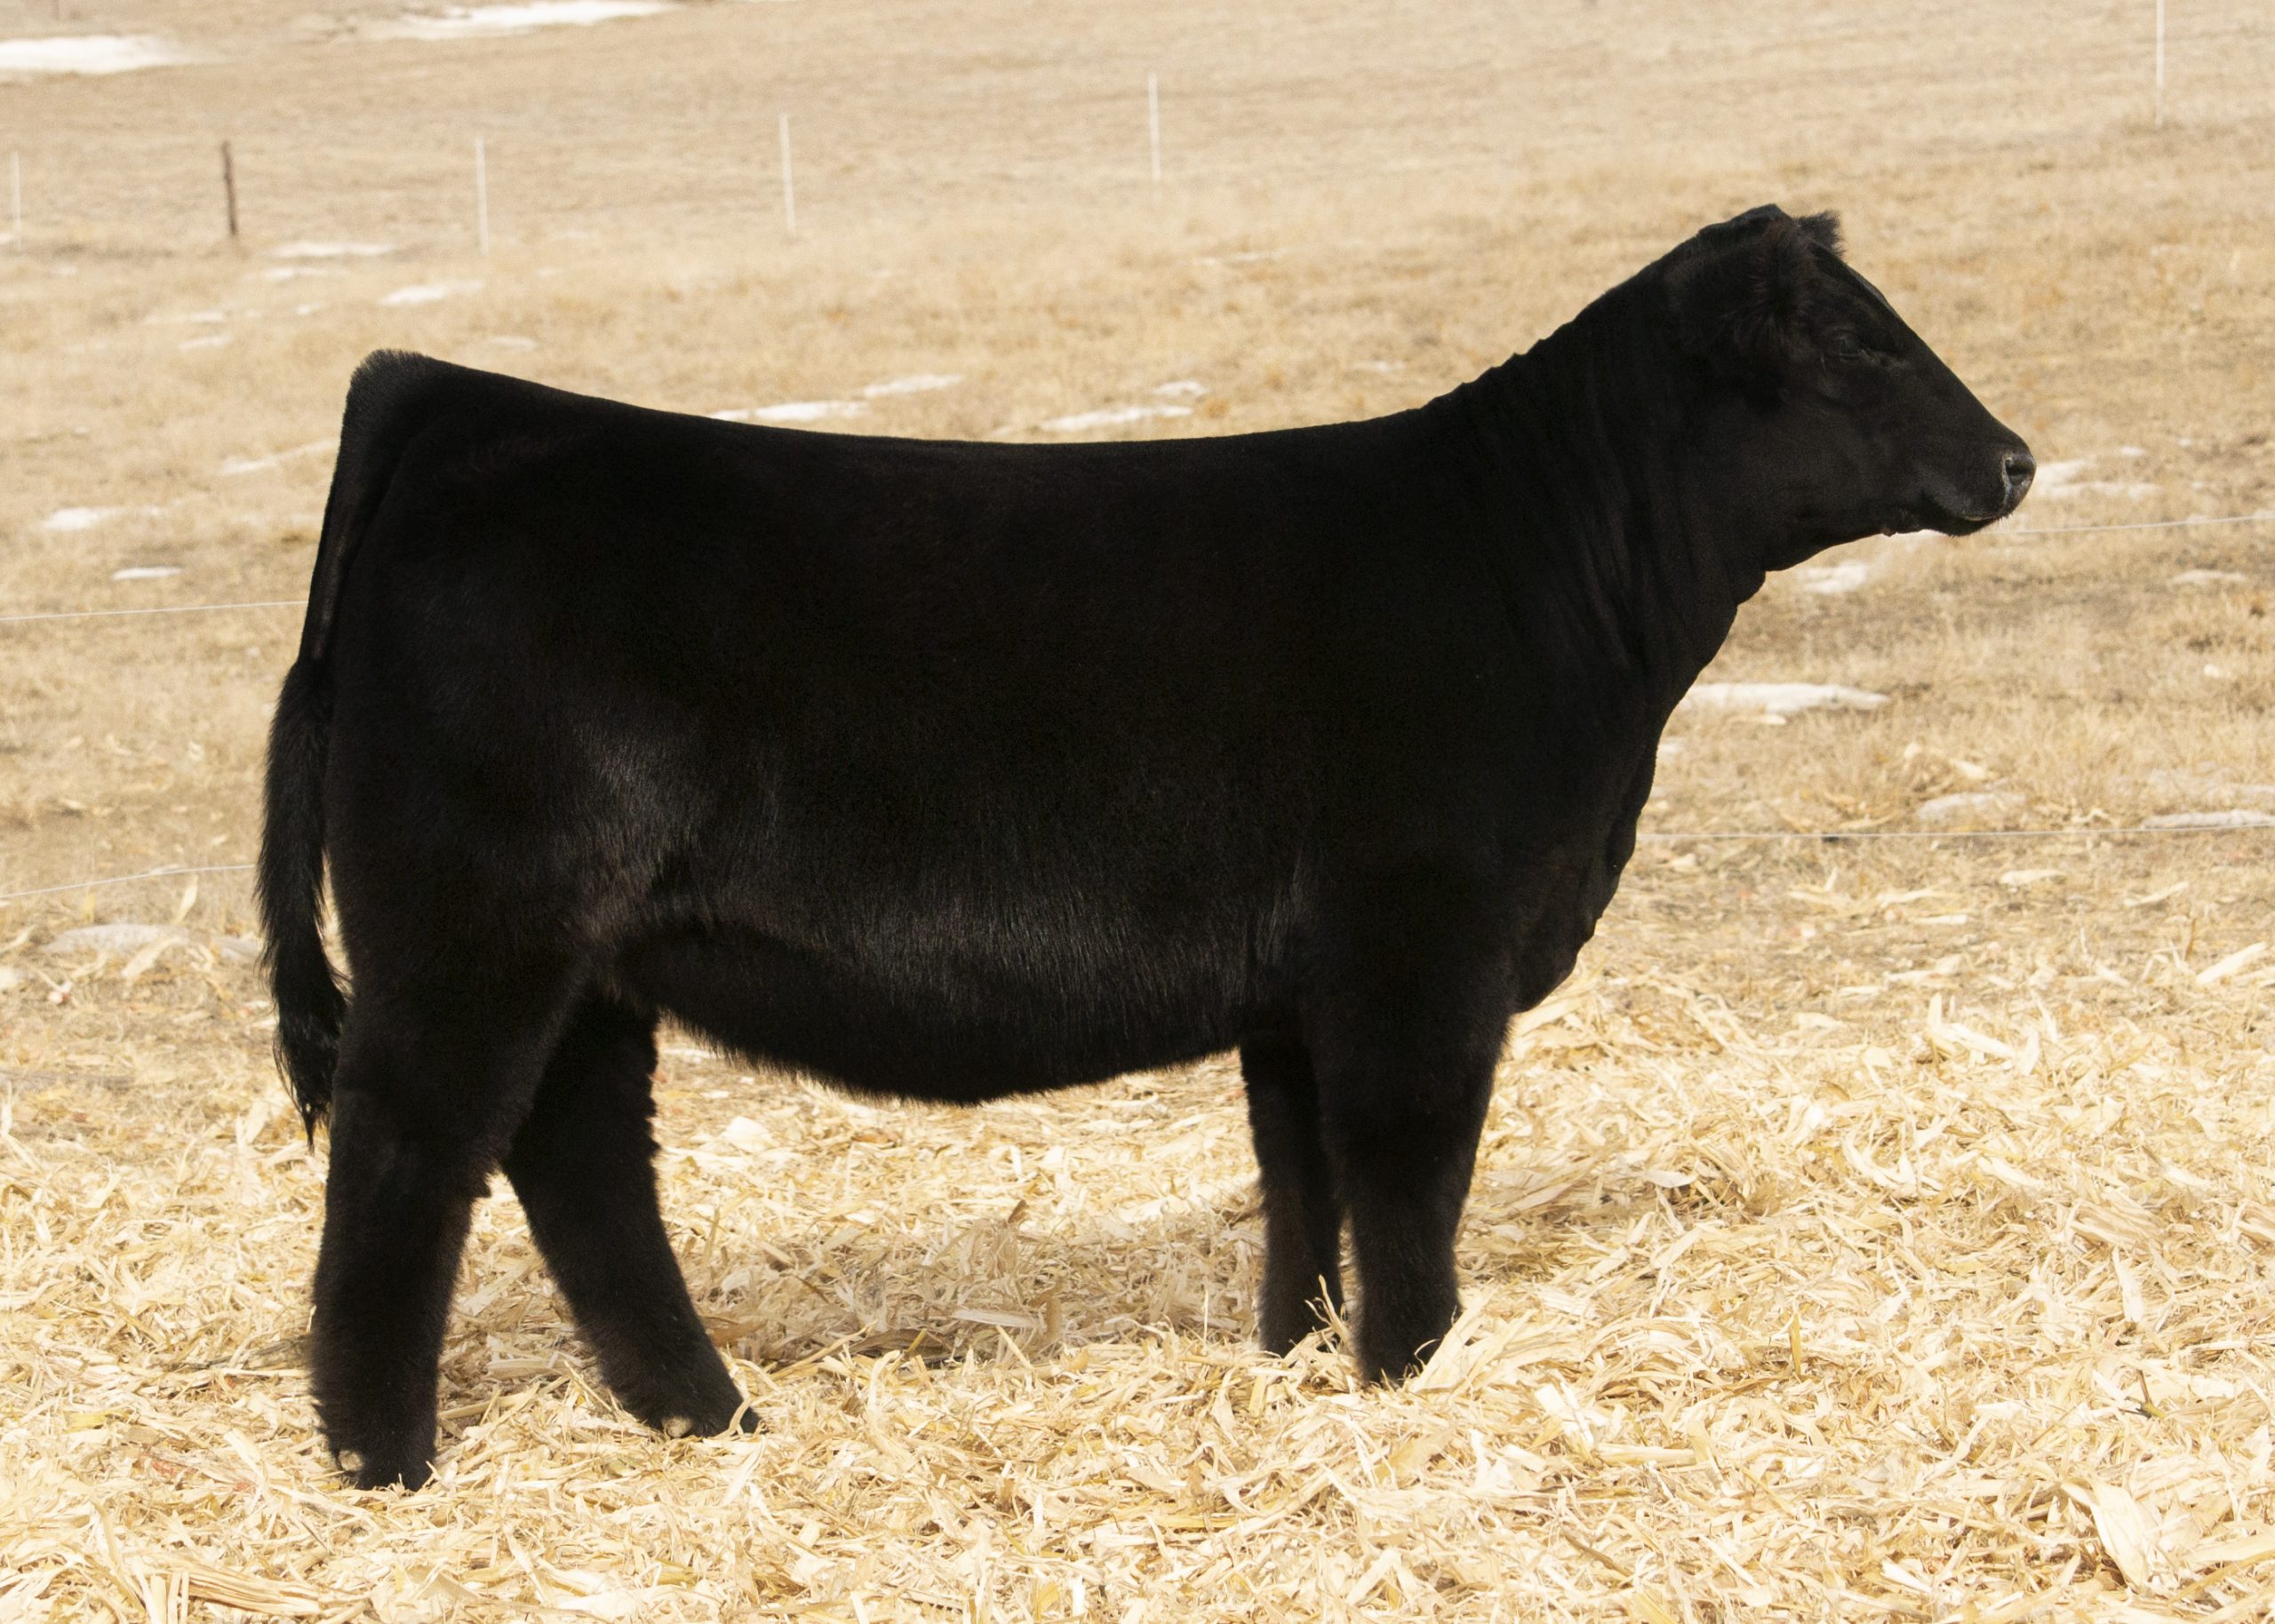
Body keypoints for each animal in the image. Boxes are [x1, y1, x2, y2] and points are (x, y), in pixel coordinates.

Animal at [259, 204, 2032, 1488]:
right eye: (1859, 344)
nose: (2016, 457)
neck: (1548, 576)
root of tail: (439, 396)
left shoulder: (1303, 987)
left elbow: (1303, 1183)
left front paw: (1307, 1365)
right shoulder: (1421, 948)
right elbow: (1409, 1172)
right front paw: (1415, 1370)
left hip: (591, 964)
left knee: (580, 1171)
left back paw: (716, 1422)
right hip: (472, 933)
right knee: (408, 1161)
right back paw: (386, 1465)